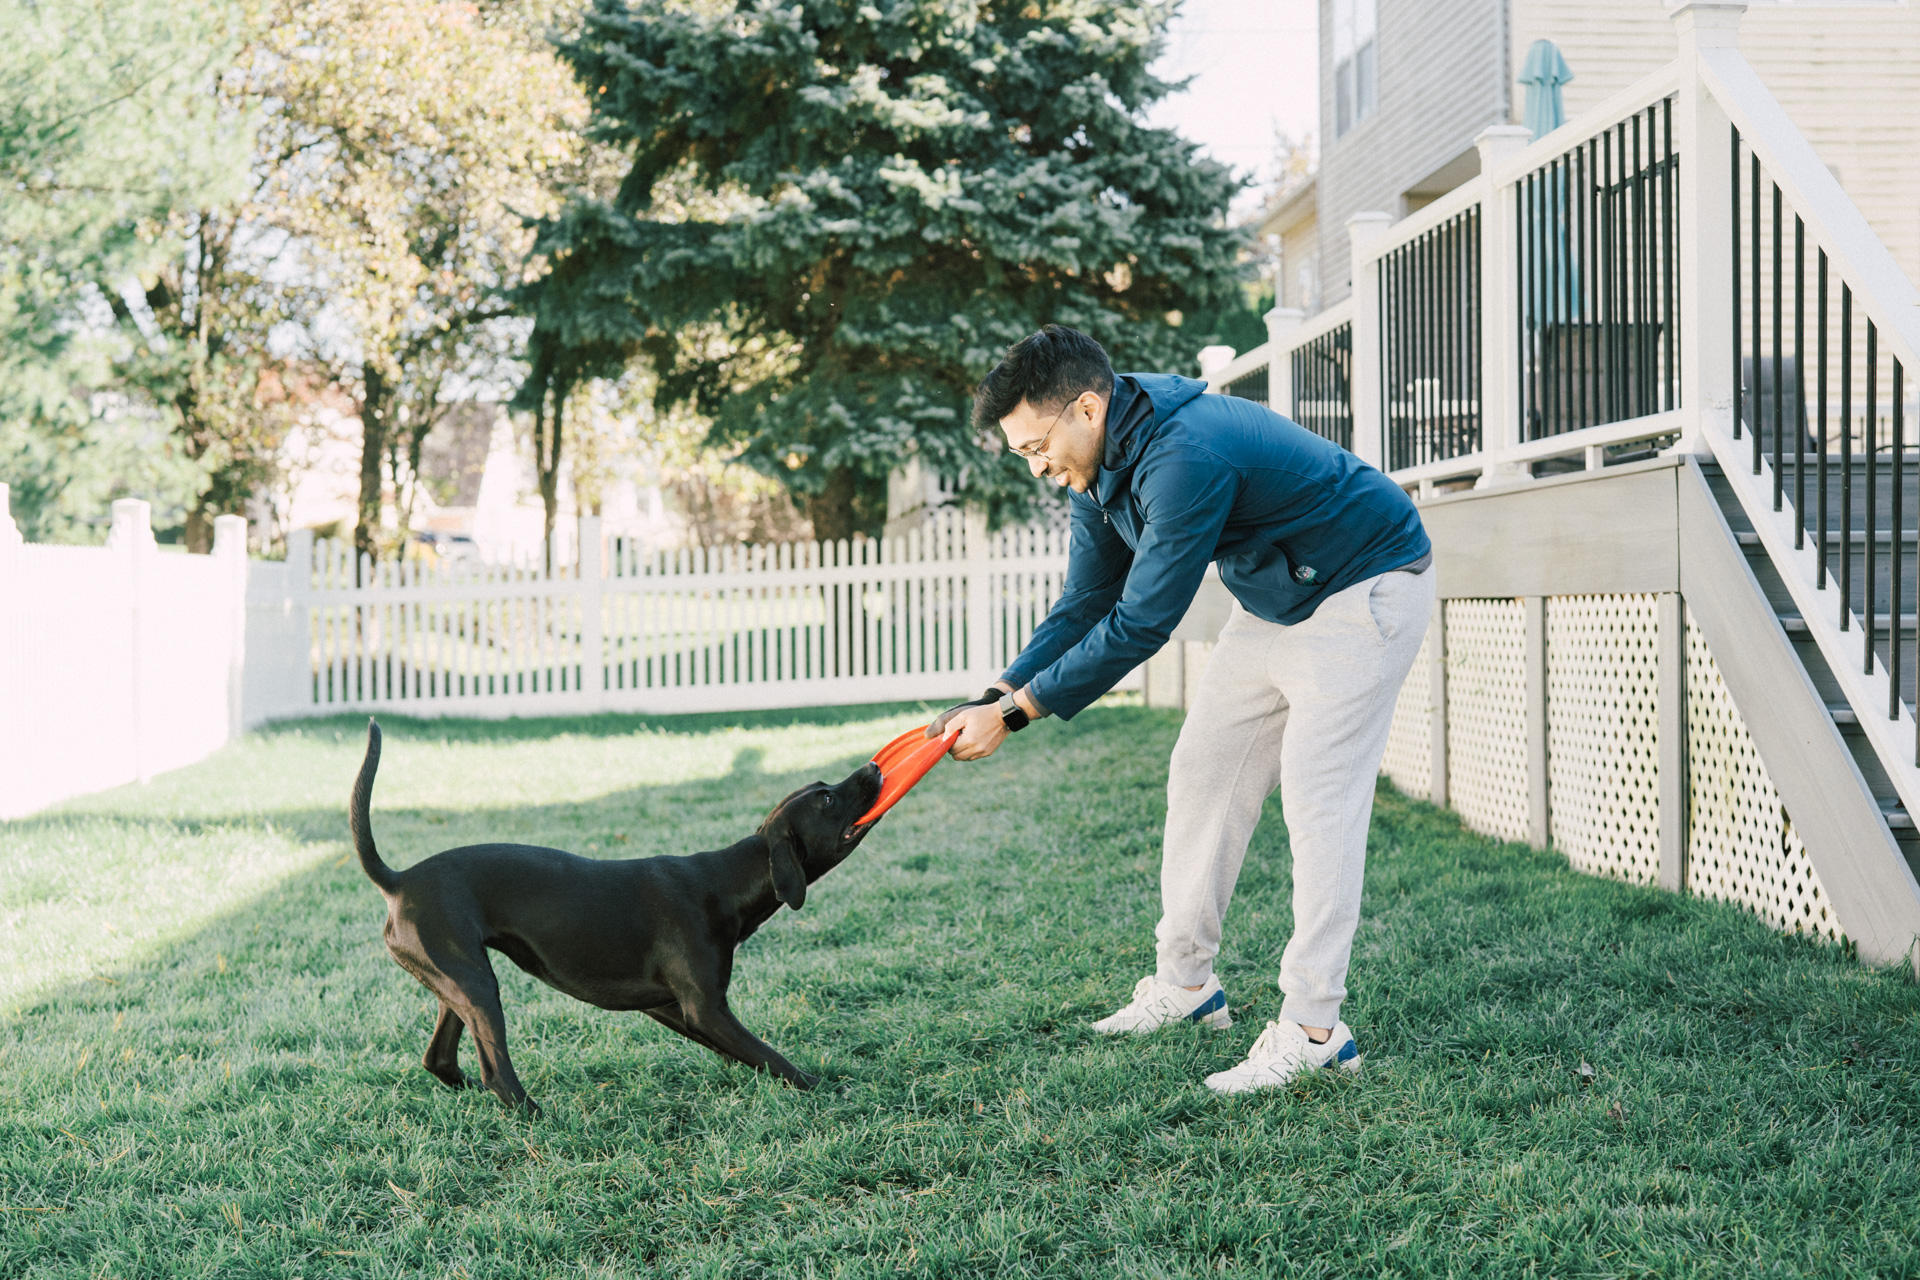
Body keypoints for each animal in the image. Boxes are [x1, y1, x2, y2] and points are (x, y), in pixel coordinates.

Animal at [348, 720, 883, 1112]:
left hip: (456, 984)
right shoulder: (706, 1008)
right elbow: (774, 1058)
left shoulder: (672, 1007)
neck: (727, 881)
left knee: (440, 1060)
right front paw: (824, 1088)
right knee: (497, 1074)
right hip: (478, 986)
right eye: (828, 798)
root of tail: (398, 879)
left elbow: (748, 1055)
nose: (872, 767)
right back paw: (538, 1117)